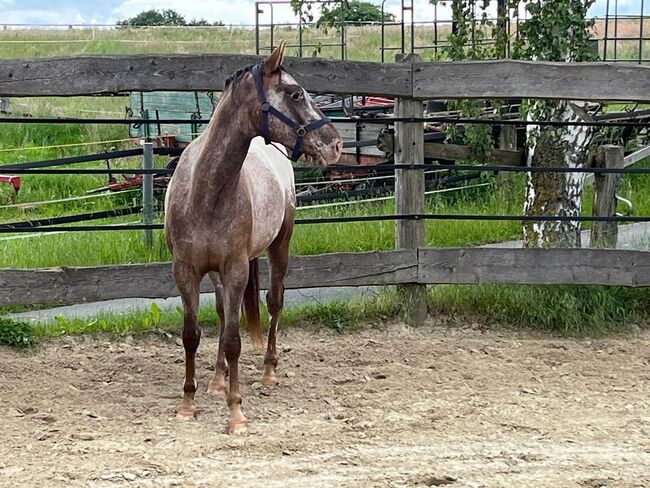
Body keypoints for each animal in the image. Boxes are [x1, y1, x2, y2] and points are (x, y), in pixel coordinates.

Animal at [165, 39, 342, 434]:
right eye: (295, 93)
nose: (335, 144)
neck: (205, 193)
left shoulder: (236, 270)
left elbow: (234, 340)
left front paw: (236, 413)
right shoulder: (186, 271)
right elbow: (192, 334)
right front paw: (188, 404)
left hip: (280, 245)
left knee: (274, 303)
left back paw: (268, 373)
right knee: (220, 313)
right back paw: (217, 379)